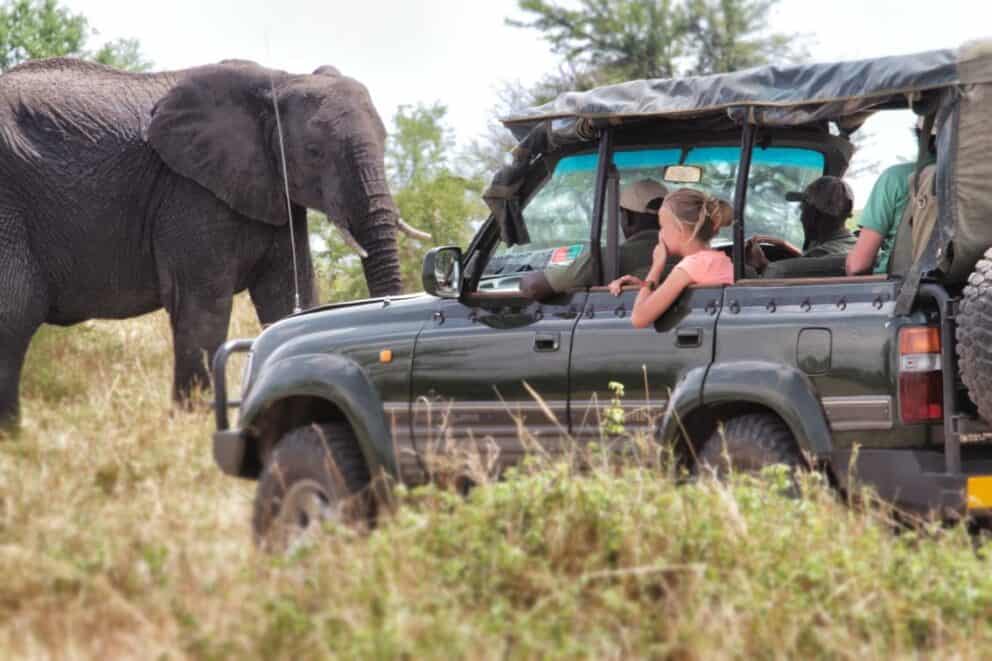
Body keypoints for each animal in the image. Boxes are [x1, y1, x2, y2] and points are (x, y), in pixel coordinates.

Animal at [0, 57, 426, 426]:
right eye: (314, 152)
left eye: (386, 140)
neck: (280, 80)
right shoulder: (189, 191)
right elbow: (203, 307)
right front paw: (195, 424)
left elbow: (290, 296)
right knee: (16, 311)